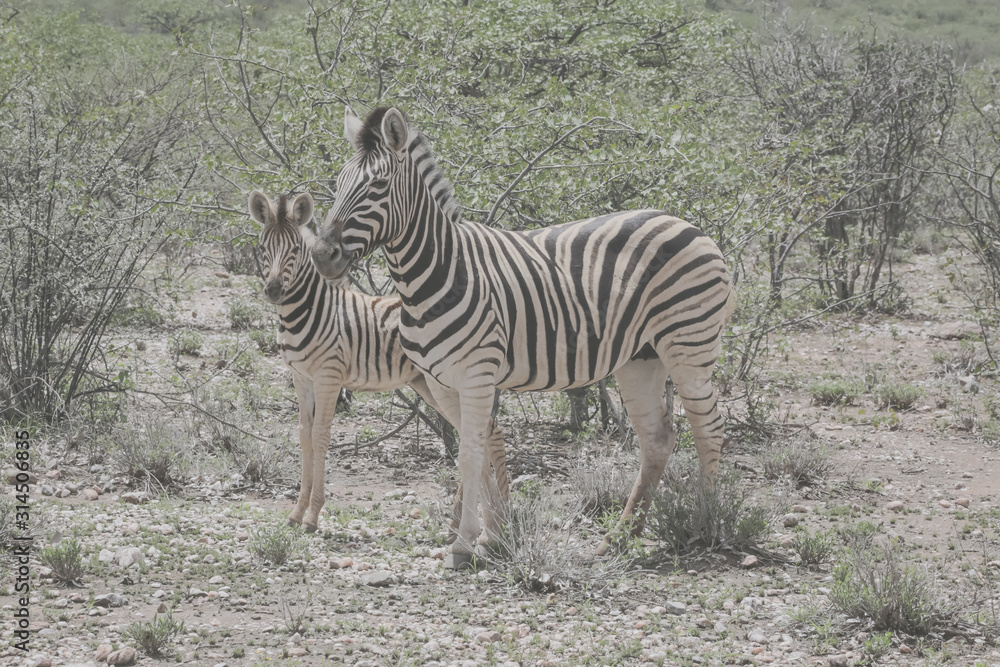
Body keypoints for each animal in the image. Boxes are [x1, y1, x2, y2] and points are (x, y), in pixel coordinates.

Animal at [248, 190, 508, 539]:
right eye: (264, 247)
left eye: (295, 250)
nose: (275, 290)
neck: (309, 310)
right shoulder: (301, 378)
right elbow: (304, 435)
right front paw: (296, 512)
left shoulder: (329, 376)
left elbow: (320, 435)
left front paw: (312, 516)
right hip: (431, 384)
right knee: (483, 432)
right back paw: (468, 522)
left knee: (486, 432)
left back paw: (496, 520)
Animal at [309, 108, 736, 567]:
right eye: (338, 182)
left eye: (378, 186)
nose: (321, 255)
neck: (437, 273)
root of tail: (686, 222)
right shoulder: (442, 382)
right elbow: (475, 452)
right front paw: (483, 537)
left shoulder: (477, 373)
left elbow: (469, 454)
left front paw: (464, 543)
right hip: (641, 357)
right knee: (657, 439)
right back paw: (620, 538)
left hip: (688, 344)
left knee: (708, 427)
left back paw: (704, 524)